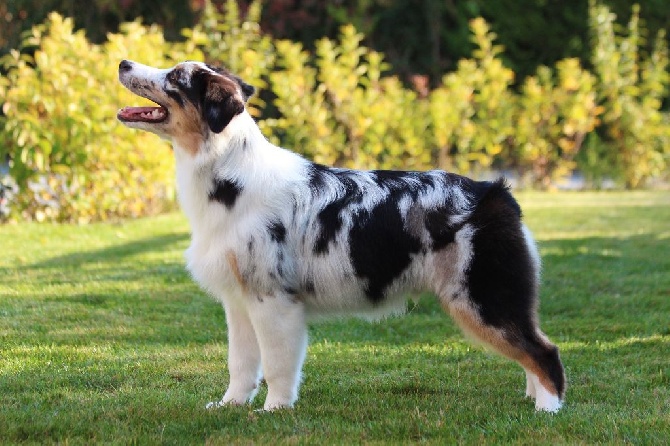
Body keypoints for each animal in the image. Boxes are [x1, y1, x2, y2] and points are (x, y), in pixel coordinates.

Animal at [117, 59, 568, 412]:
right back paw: (533, 399)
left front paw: (274, 410)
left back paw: (546, 410)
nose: (122, 63)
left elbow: (277, 364)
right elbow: (241, 364)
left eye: (174, 77)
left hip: (483, 297)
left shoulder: (274, 300)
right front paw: (231, 406)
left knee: (544, 351)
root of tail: (497, 193)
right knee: (531, 347)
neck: (229, 174)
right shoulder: (239, 300)